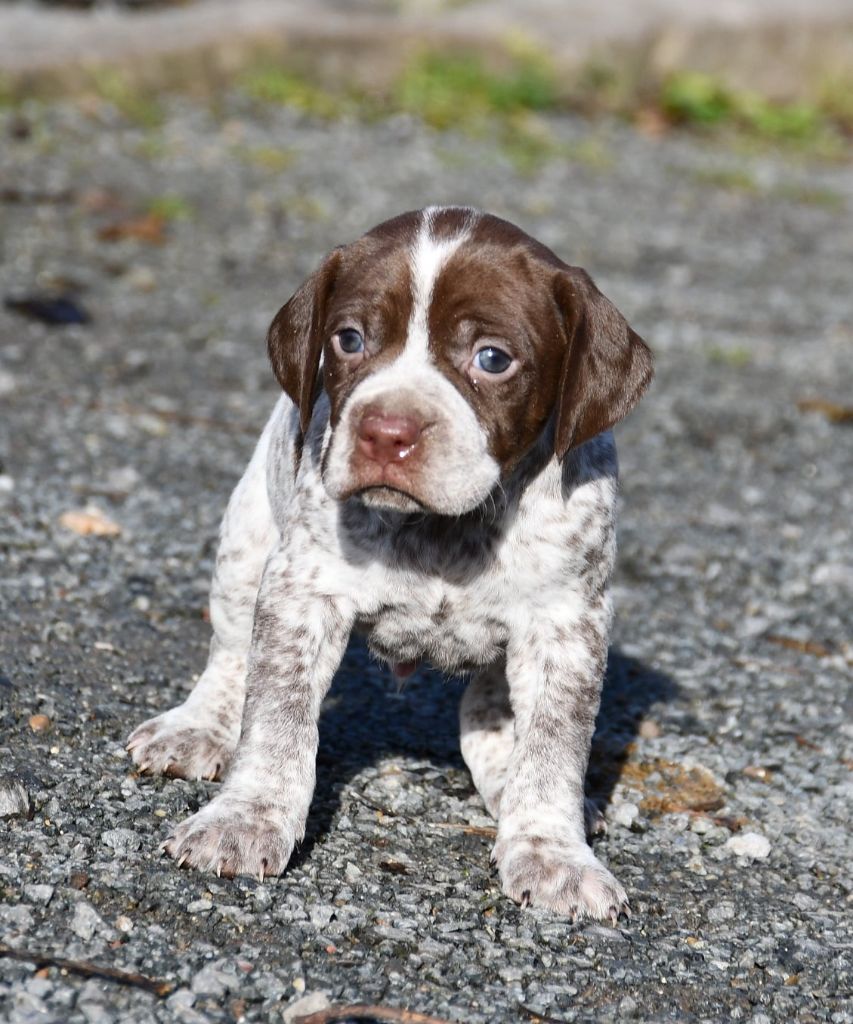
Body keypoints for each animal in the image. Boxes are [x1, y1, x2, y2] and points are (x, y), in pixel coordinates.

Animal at [126, 205, 651, 921]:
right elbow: (277, 721)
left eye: (493, 359)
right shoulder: (301, 594)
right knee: (231, 653)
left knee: (486, 717)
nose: (386, 431)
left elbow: (551, 748)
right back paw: (197, 726)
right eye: (349, 340)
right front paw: (246, 818)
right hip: (247, 538)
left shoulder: (566, 624)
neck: (446, 530)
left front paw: (552, 851)